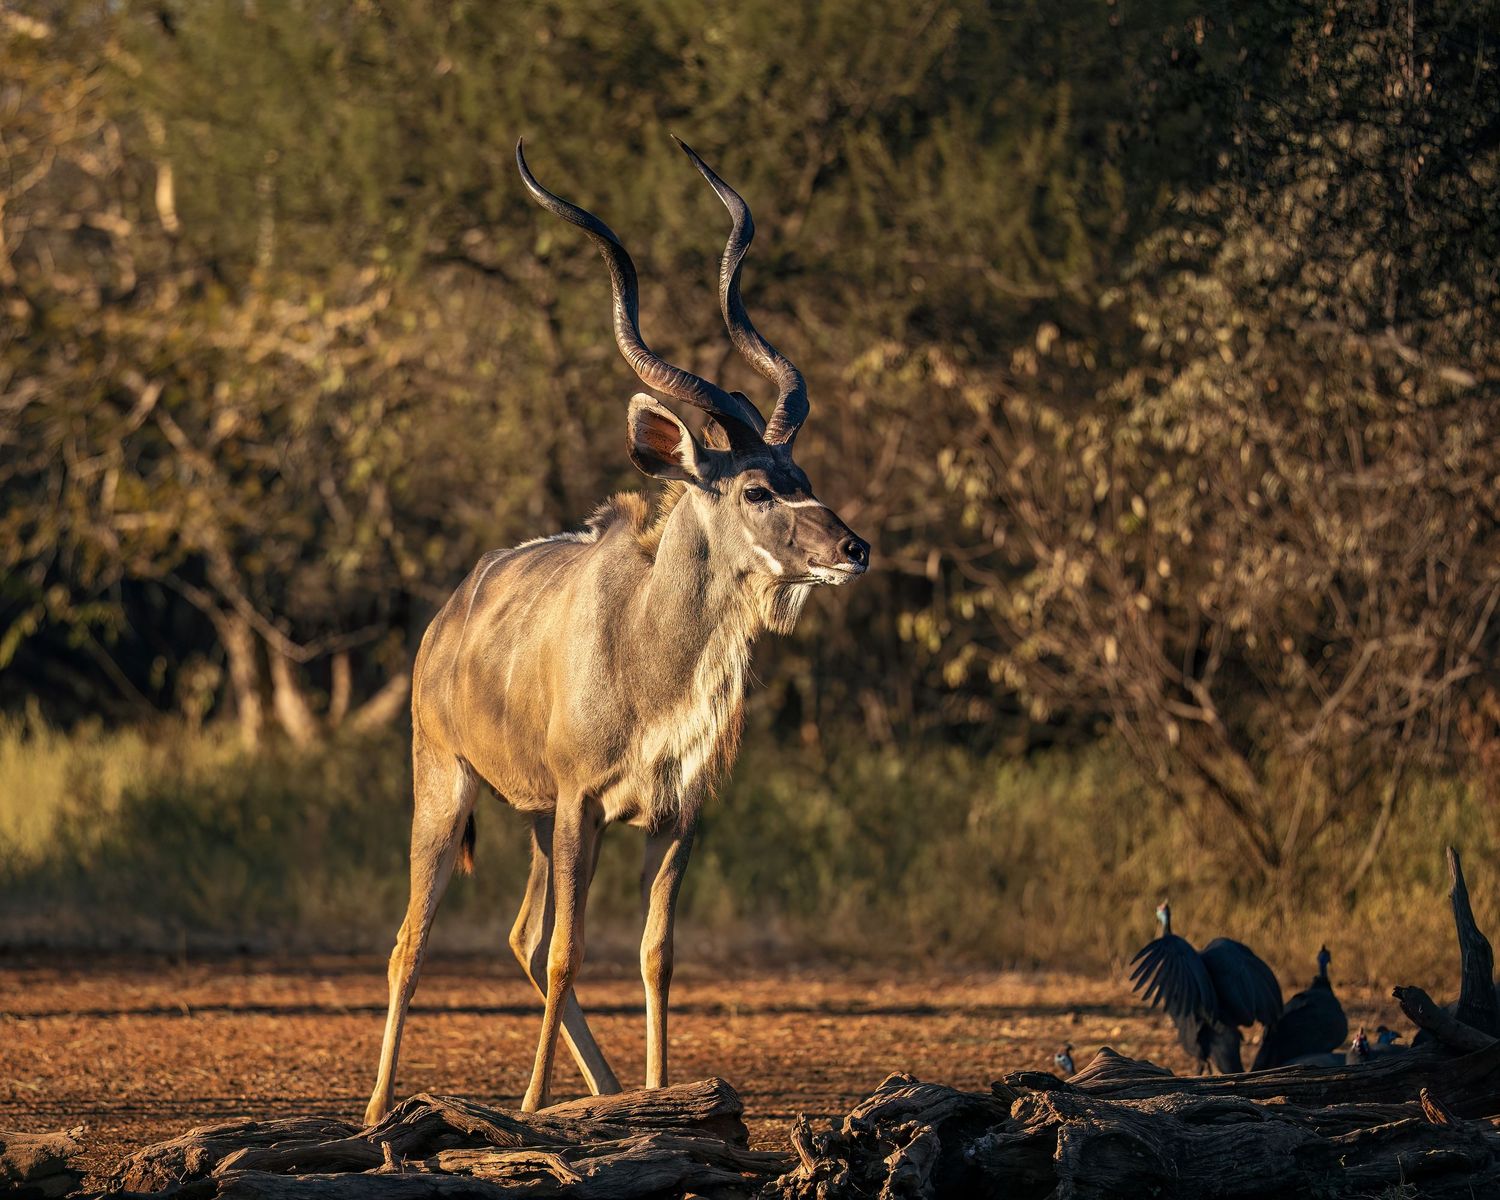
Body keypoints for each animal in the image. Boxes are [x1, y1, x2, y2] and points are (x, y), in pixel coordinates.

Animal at [364, 138, 870, 1122]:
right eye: (759, 488)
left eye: (803, 476)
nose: (853, 547)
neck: (646, 658)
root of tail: (444, 622)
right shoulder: (581, 804)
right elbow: (570, 951)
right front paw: (530, 1109)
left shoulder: (675, 818)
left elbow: (654, 954)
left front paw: (664, 1097)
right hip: (448, 785)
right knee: (416, 939)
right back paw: (377, 1113)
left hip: (527, 817)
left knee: (520, 935)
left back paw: (599, 1095)